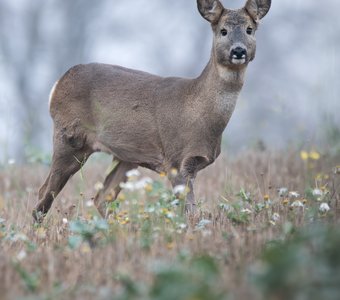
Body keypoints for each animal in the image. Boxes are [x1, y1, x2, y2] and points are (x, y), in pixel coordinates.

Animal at [32, 0, 270, 220]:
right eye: (223, 30)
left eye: (250, 29)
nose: (238, 50)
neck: (198, 112)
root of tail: (57, 84)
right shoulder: (176, 160)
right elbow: (188, 213)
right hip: (70, 138)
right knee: (44, 194)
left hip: (127, 157)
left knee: (101, 198)